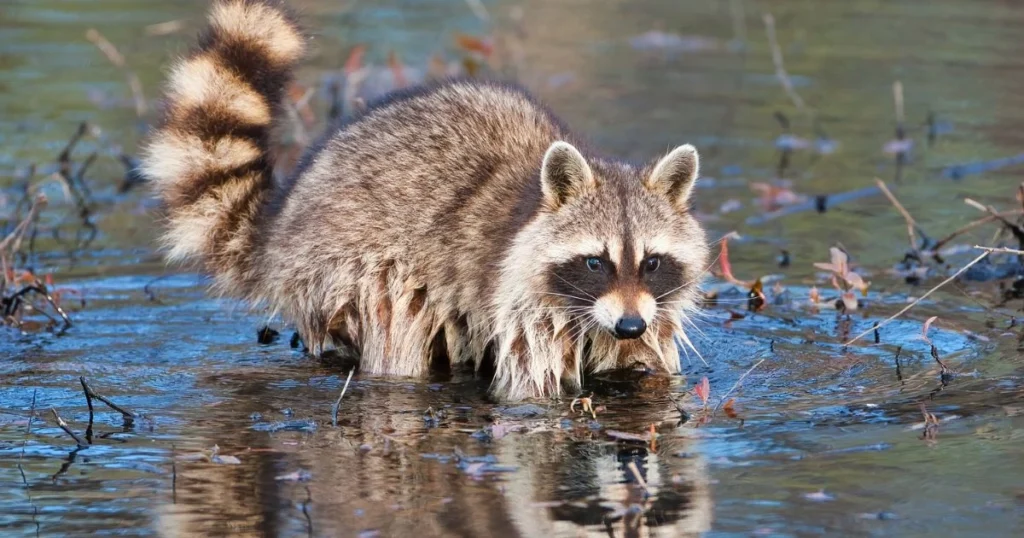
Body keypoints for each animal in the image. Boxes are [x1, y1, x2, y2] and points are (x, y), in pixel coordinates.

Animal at [144, 0, 708, 399]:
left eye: (652, 261)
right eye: (595, 262)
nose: (630, 324)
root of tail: (280, 230)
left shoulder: (651, 307)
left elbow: (643, 365)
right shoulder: (524, 302)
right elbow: (530, 385)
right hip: (348, 267)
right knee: (398, 326)